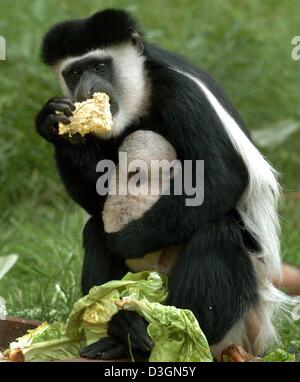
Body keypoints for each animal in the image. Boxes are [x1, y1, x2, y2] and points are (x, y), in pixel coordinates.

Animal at [35, 9, 292, 362]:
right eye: (73, 73)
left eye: (100, 66)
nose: (87, 88)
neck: (141, 97)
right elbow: (98, 199)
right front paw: (53, 123)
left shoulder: (180, 93)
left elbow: (221, 178)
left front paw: (127, 240)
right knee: (95, 229)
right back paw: (121, 331)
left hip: (244, 320)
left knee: (217, 234)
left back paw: (167, 331)